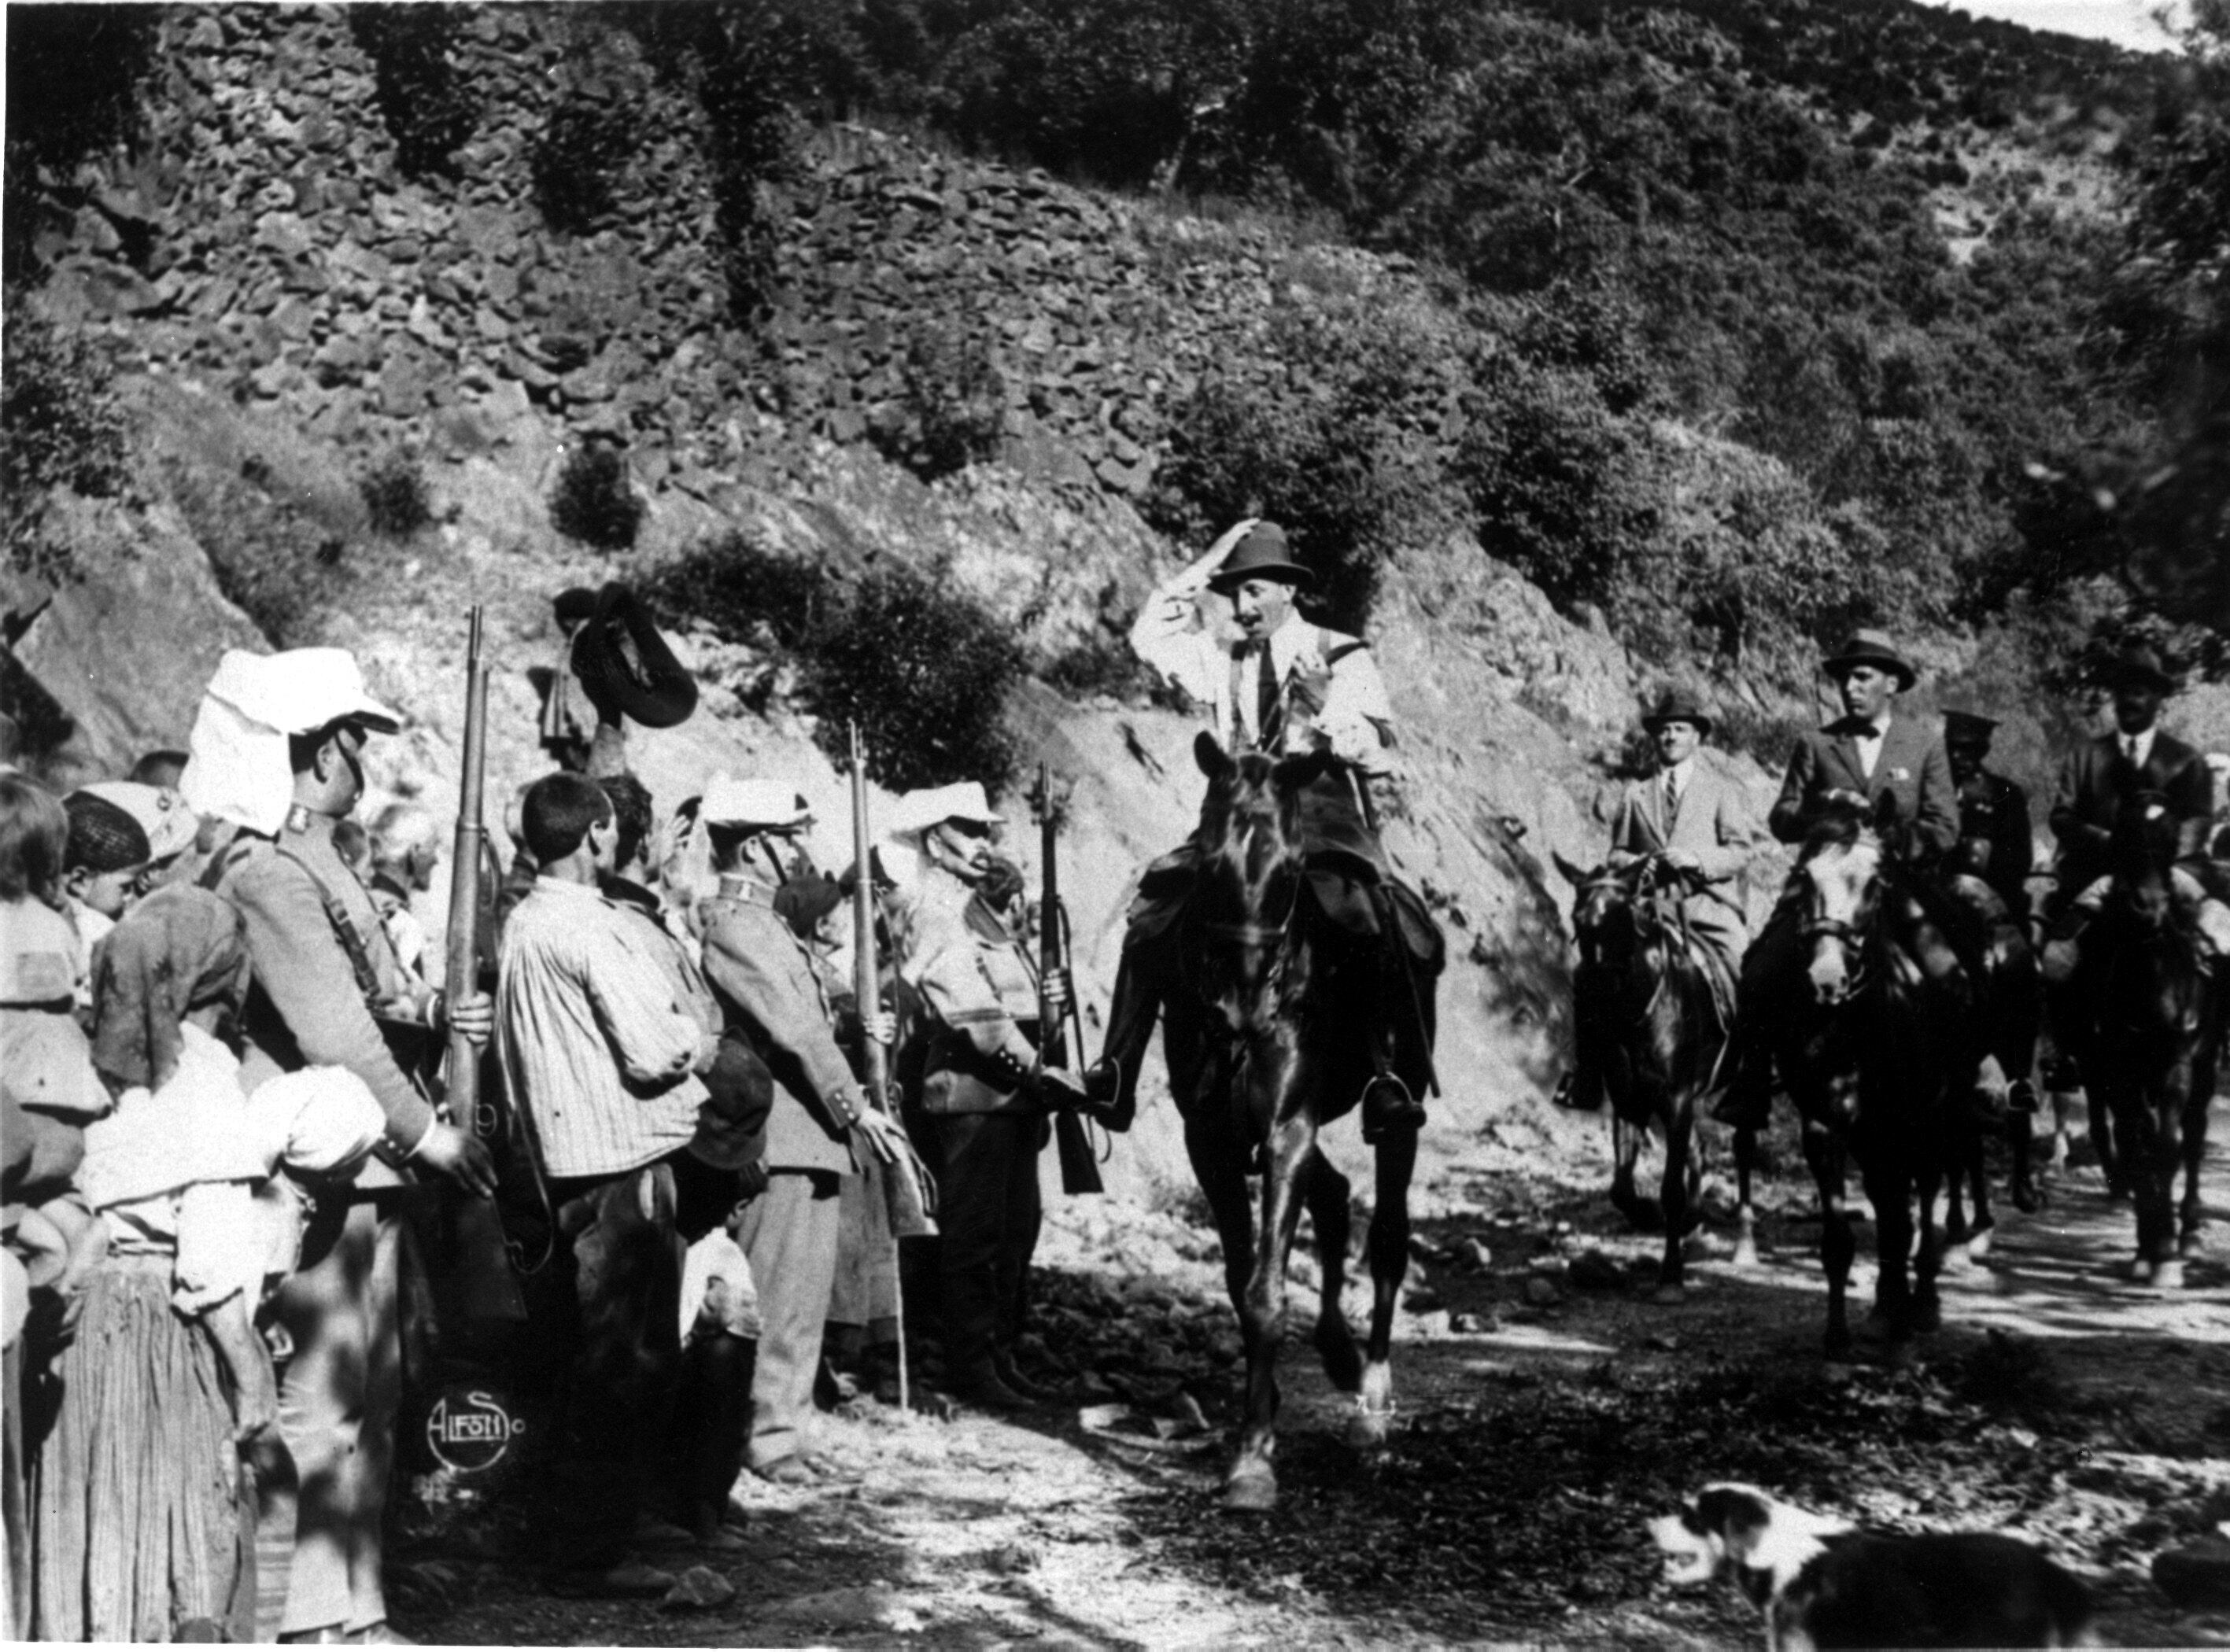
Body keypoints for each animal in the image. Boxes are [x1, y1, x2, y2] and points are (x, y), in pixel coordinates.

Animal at [1159, 736, 1436, 1506]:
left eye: (1289, 870)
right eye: (1212, 861)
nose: (1243, 1004)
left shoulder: (1286, 1130)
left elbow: (1264, 1291)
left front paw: (1253, 1457)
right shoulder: (1212, 1142)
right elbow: (1240, 1279)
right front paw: (1264, 1416)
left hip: (1397, 1113)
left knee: (1388, 1236)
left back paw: (1372, 1396)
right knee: (1336, 1196)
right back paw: (1340, 1355)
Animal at [1552, 843, 1757, 1292]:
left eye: (1622, 917)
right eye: (1578, 919)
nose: (1595, 992)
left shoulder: (1676, 1099)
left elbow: (1671, 1189)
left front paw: (1671, 1276)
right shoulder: (1630, 1099)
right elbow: (1622, 1188)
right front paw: (1651, 1217)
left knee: (1744, 1146)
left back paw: (1744, 1241)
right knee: (1700, 1150)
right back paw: (1695, 1226)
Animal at [1766, 793, 1980, 1355]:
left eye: (1875, 883)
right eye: (1805, 877)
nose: (1827, 980)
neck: (1858, 1027)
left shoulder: (1909, 1122)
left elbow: (1906, 1220)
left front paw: (1905, 1324)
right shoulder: (1825, 1128)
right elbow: (1841, 1240)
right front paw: (1838, 1336)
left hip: (1934, 1117)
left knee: (1923, 1197)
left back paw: (1920, 1303)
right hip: (1873, 1136)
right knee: (1888, 1202)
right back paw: (1887, 1306)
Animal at [2051, 789, 2212, 1292]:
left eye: (2171, 844)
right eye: (2123, 839)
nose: (2147, 908)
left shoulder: (2177, 1062)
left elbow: (2167, 1146)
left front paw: (2168, 1253)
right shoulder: (2119, 1068)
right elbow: (2139, 1148)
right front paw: (2148, 1248)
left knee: (2194, 1136)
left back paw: (2191, 1230)